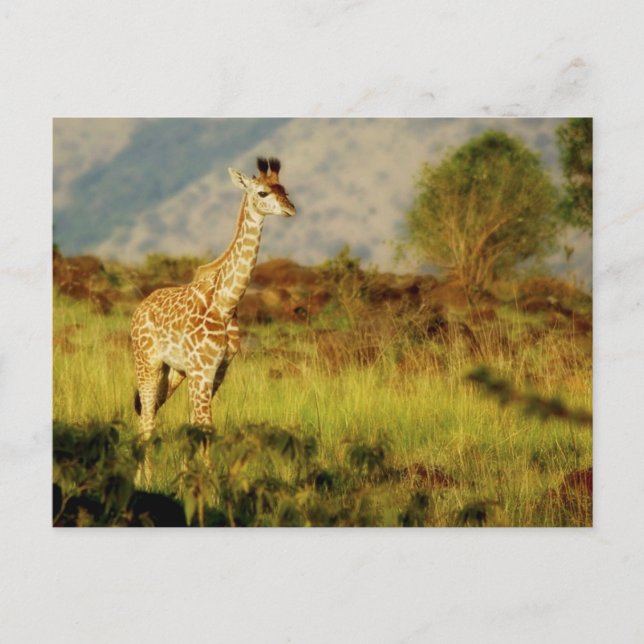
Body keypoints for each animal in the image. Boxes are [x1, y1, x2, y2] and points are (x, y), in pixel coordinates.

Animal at [130, 157, 295, 443]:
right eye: (262, 193)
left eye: (284, 190)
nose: (291, 209)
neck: (226, 302)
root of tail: (139, 310)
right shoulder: (201, 369)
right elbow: (204, 425)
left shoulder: (218, 371)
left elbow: (197, 425)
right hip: (148, 362)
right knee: (147, 421)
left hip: (174, 371)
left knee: (149, 414)